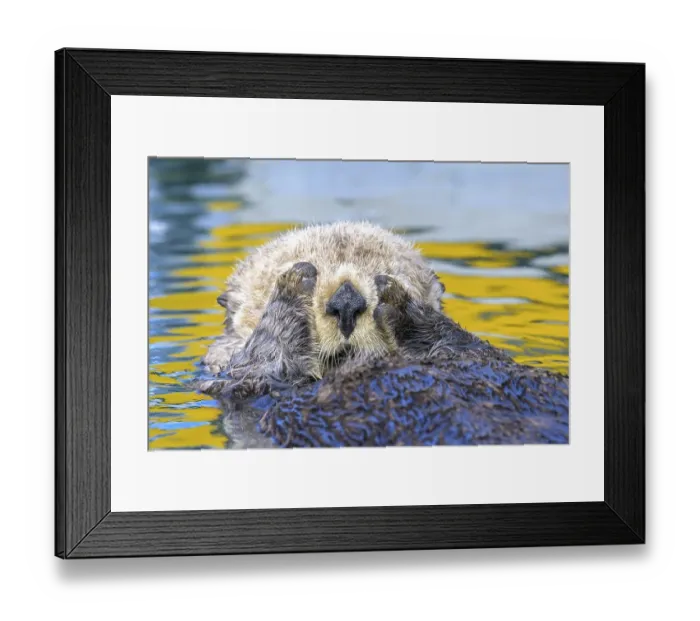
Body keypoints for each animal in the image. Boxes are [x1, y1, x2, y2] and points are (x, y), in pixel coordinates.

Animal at [197, 222, 569, 448]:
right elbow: (252, 370)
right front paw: (292, 286)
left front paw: (404, 307)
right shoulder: (236, 386)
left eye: (384, 272)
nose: (346, 302)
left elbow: (473, 351)